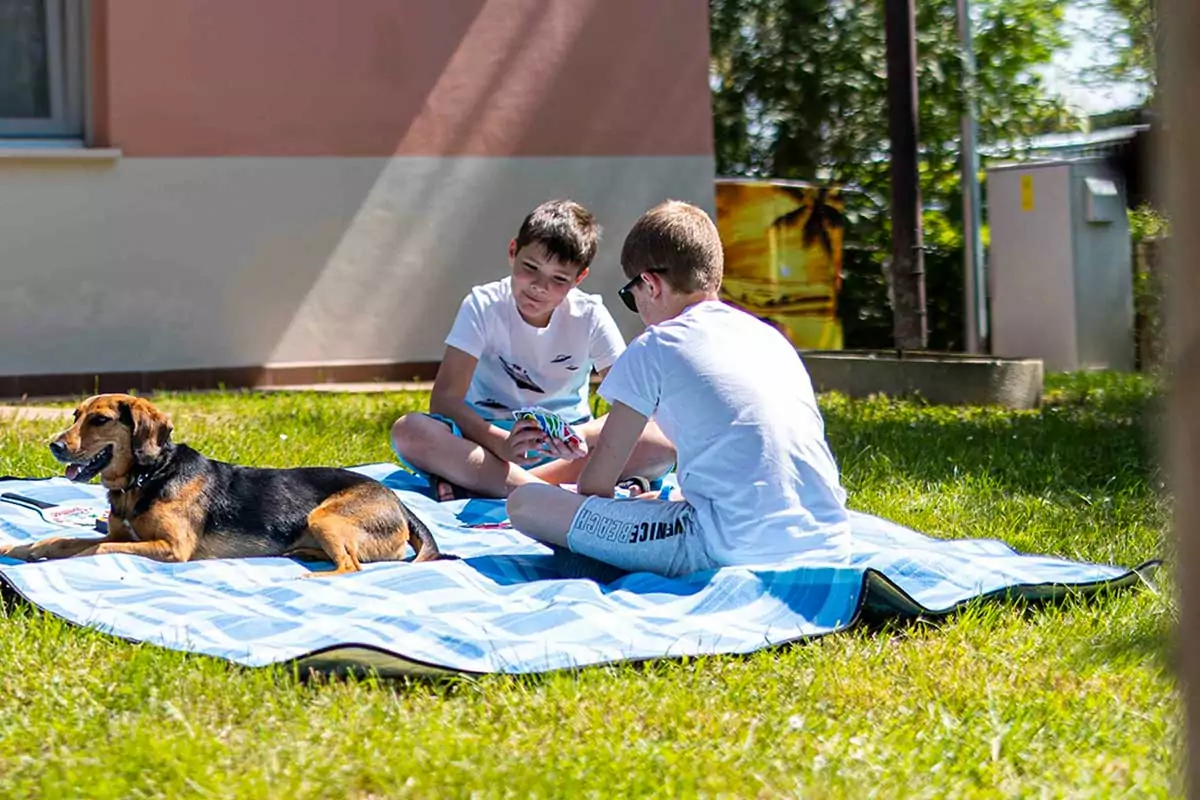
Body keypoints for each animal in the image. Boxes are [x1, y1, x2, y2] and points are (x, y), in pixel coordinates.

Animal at [0, 393, 448, 568]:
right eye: (75, 415)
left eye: (100, 420)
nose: (55, 445)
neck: (148, 476)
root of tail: (400, 502)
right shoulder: (118, 532)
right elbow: (63, 539)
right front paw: (22, 548)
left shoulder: (172, 548)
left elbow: (95, 550)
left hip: (325, 517)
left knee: (351, 566)